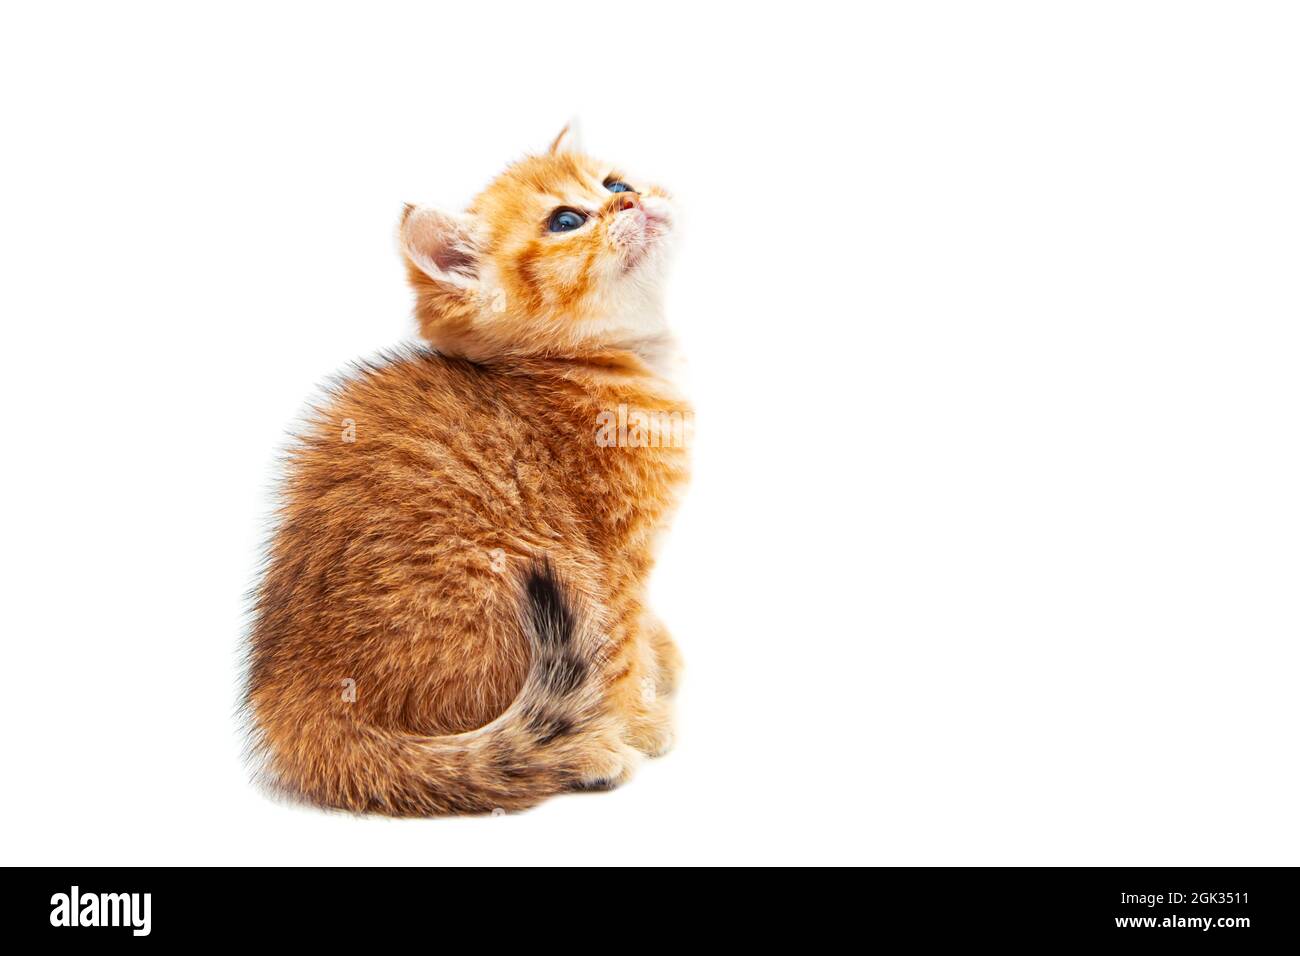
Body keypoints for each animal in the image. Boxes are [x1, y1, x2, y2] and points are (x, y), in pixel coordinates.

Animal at [244, 125, 691, 816]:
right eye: (566, 221)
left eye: (614, 182)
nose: (632, 200)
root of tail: (293, 699)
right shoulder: (612, 562)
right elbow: (620, 651)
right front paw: (637, 722)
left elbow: (643, 635)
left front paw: (662, 664)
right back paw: (586, 753)